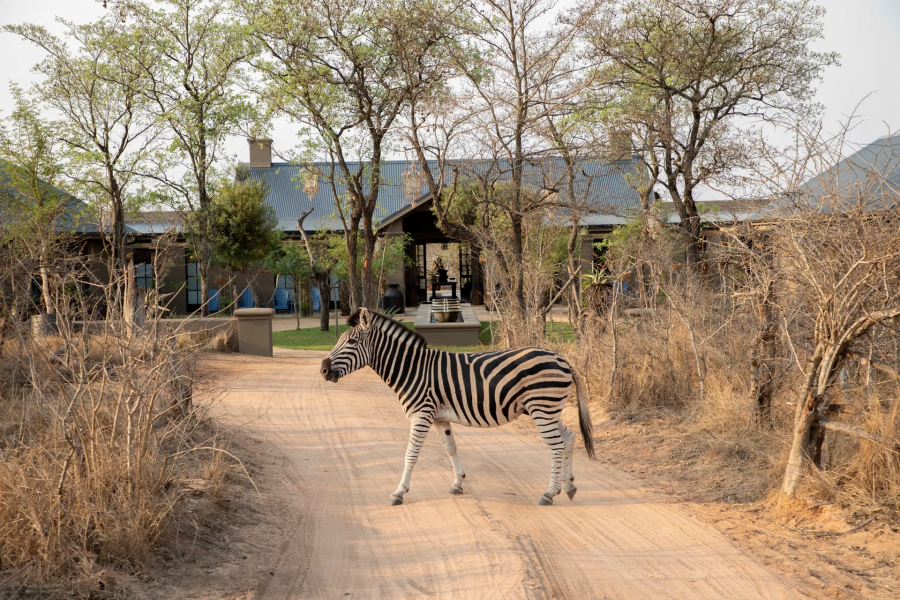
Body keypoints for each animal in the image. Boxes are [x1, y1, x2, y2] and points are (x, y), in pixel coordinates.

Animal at [320, 310, 596, 506]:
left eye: (352, 341)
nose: (323, 370)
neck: (412, 369)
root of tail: (563, 359)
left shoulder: (421, 415)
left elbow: (411, 454)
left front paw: (399, 492)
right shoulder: (439, 417)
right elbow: (450, 448)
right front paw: (458, 483)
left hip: (542, 408)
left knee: (556, 445)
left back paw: (549, 493)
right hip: (547, 409)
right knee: (569, 437)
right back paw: (569, 486)